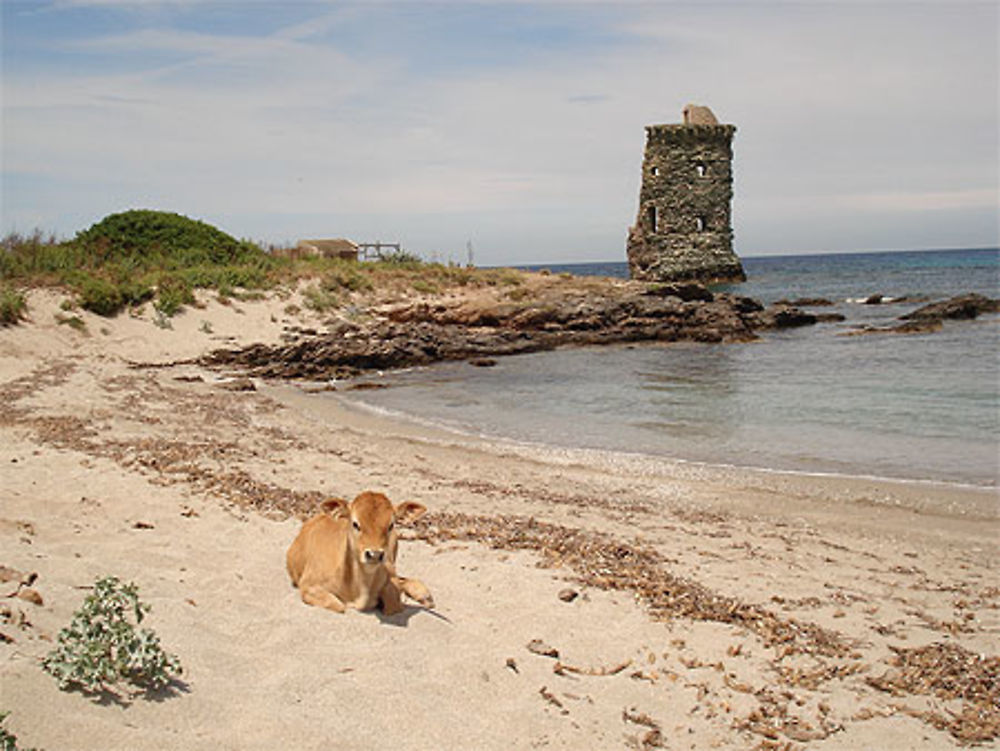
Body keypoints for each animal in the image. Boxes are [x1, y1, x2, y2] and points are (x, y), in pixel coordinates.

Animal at [286, 490, 434, 612]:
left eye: (391, 525)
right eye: (355, 524)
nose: (374, 555)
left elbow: (393, 602)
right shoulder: (308, 585)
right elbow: (339, 606)